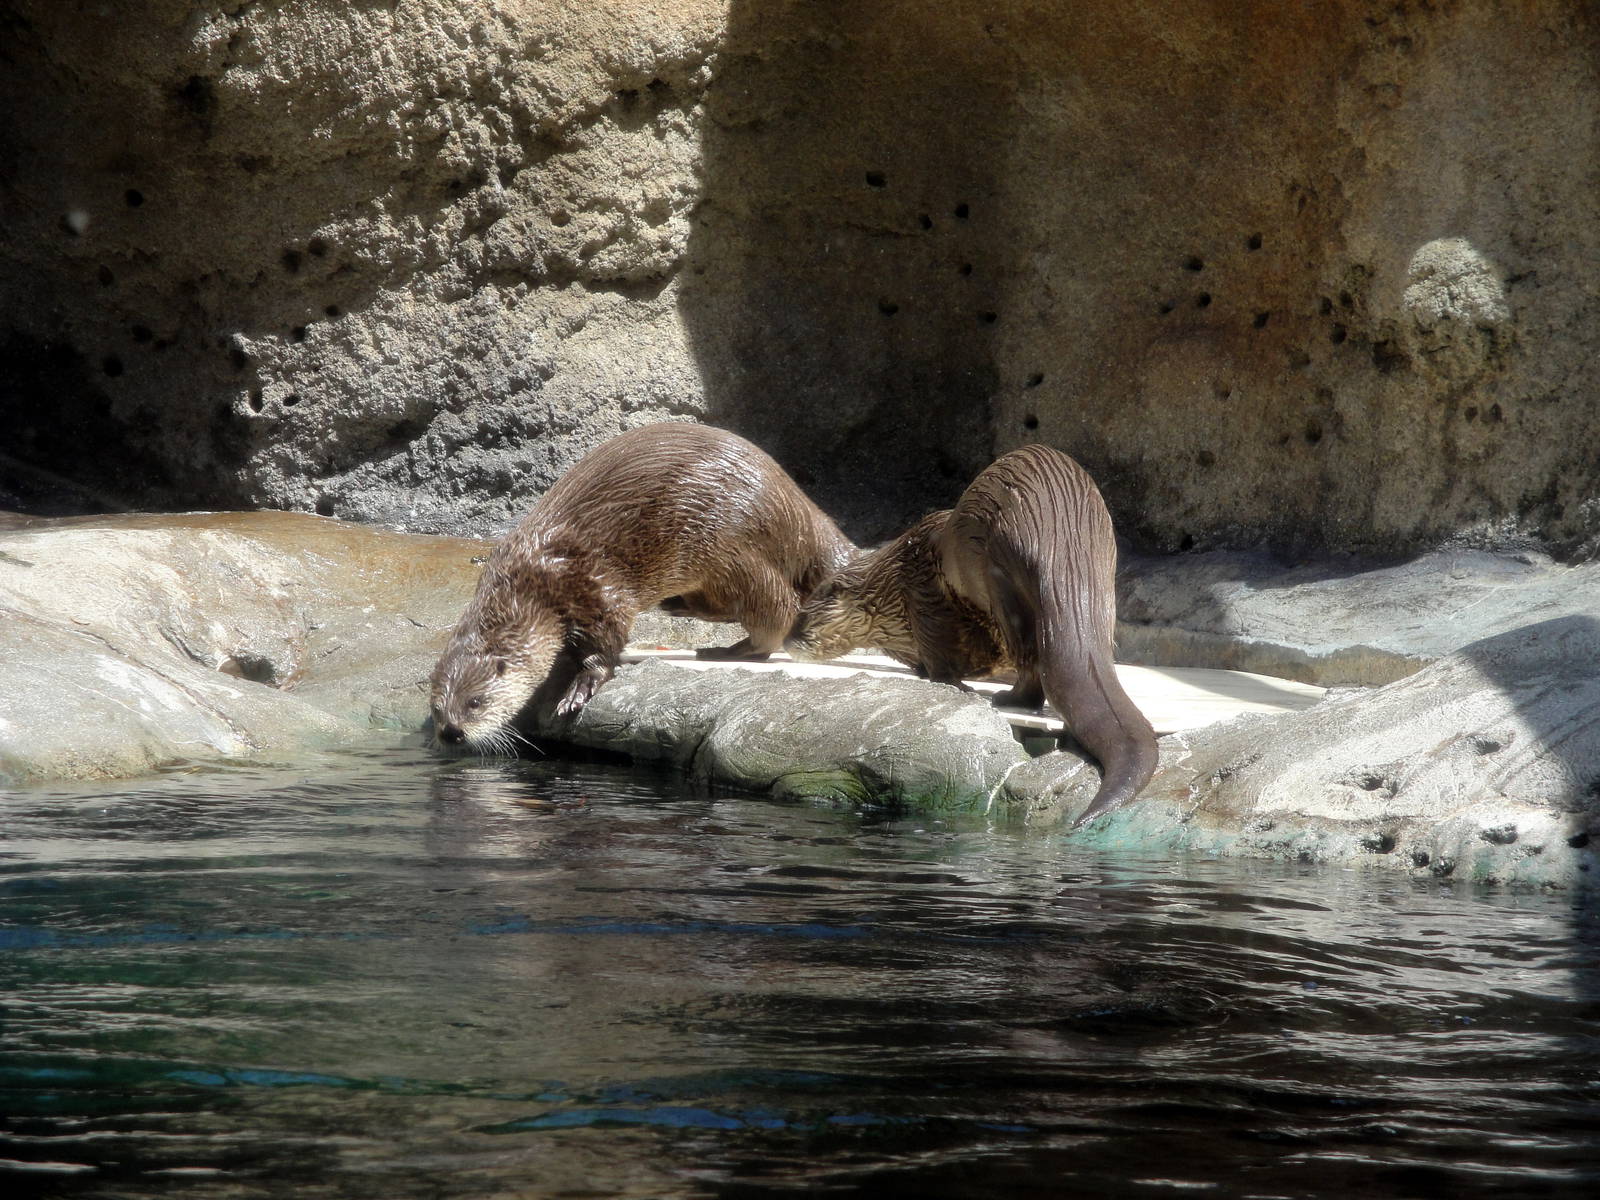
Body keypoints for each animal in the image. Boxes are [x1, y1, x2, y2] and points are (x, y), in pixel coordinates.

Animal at [431, 423, 854, 753]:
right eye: (436, 707)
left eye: (475, 702)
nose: (451, 733)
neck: (530, 587)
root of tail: (797, 507)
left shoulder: (592, 590)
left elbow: (605, 646)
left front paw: (578, 690)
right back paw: (679, 608)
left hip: (734, 547)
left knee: (777, 609)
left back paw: (730, 649)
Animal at [788, 444, 1158, 827]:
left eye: (802, 620)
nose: (787, 640)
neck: (890, 588)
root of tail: (1059, 535)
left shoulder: (920, 593)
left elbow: (939, 655)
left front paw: (955, 685)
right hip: (1103, 571)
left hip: (998, 569)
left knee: (1027, 655)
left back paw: (1006, 699)